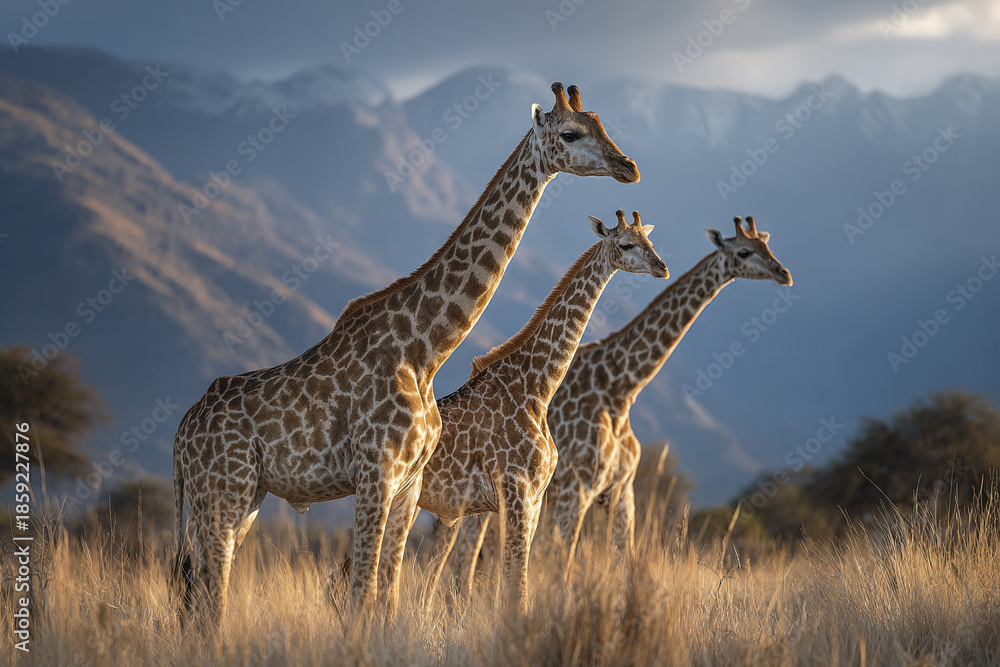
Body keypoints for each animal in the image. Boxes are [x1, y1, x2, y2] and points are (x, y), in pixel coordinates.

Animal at [171, 82, 641, 625]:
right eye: (570, 133)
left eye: (600, 122)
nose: (629, 166)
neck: (424, 351)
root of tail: (180, 436)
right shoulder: (376, 474)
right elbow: (362, 593)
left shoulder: (408, 485)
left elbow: (388, 596)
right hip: (221, 495)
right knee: (211, 595)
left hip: (243, 498)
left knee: (203, 593)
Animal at [412, 210, 667, 614]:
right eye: (626, 244)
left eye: (650, 241)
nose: (662, 267)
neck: (536, 389)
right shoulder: (517, 492)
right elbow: (516, 584)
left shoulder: (534, 498)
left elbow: (516, 581)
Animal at [452, 216, 792, 574]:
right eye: (744, 252)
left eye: (767, 246)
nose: (784, 273)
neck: (620, 389)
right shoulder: (576, 488)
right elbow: (562, 561)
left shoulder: (622, 489)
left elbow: (623, 554)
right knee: (468, 549)